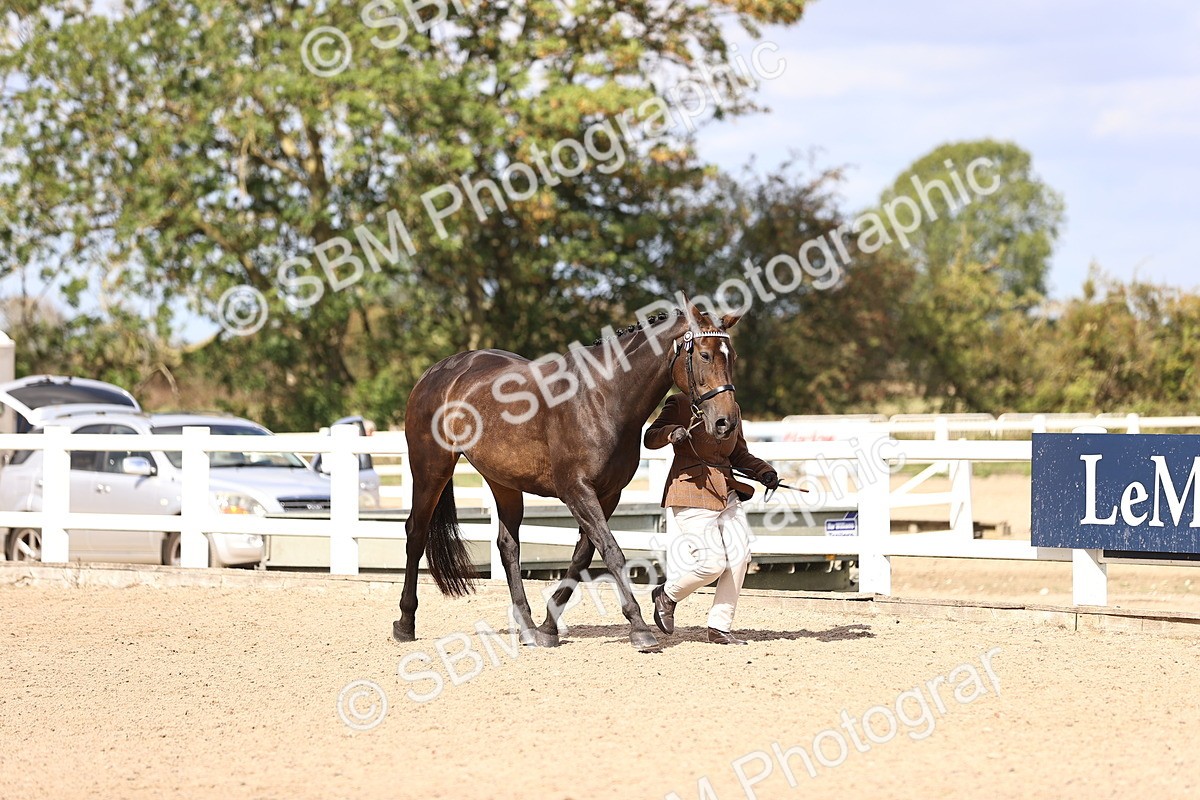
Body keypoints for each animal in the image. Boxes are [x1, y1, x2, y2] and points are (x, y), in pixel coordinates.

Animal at [393, 301, 742, 650]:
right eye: (705, 355)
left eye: (732, 356)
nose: (725, 422)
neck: (602, 397)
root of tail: (437, 372)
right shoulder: (576, 490)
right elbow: (612, 552)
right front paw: (640, 629)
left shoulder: (607, 495)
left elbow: (582, 557)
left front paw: (548, 628)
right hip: (431, 469)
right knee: (416, 533)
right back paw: (405, 623)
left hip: (503, 482)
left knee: (508, 546)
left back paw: (527, 628)